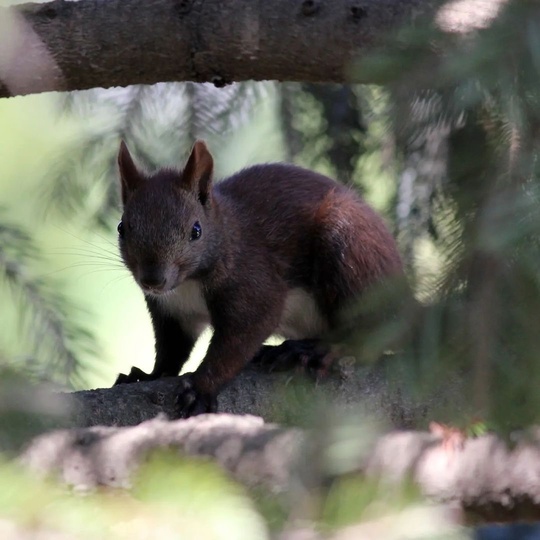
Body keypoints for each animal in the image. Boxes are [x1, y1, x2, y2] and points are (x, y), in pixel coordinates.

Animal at [115, 140, 400, 418]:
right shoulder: (172, 312)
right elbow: (171, 349)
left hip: (351, 251)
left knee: (371, 330)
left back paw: (316, 351)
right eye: (121, 228)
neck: (189, 284)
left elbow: (239, 339)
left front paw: (200, 387)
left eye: (196, 230)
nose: (153, 280)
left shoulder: (253, 282)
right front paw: (149, 375)